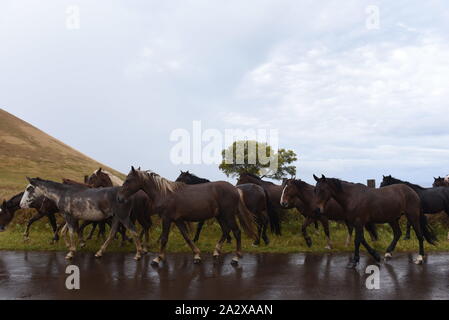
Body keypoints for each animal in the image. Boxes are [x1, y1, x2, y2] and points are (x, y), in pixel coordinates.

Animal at [116, 166, 256, 266]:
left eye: (128, 180)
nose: (119, 198)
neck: (165, 193)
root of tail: (235, 189)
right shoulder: (178, 220)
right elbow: (187, 237)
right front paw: (197, 255)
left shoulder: (167, 219)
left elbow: (164, 239)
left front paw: (158, 258)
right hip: (220, 216)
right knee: (226, 231)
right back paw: (216, 252)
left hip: (228, 215)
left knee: (236, 232)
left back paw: (236, 258)